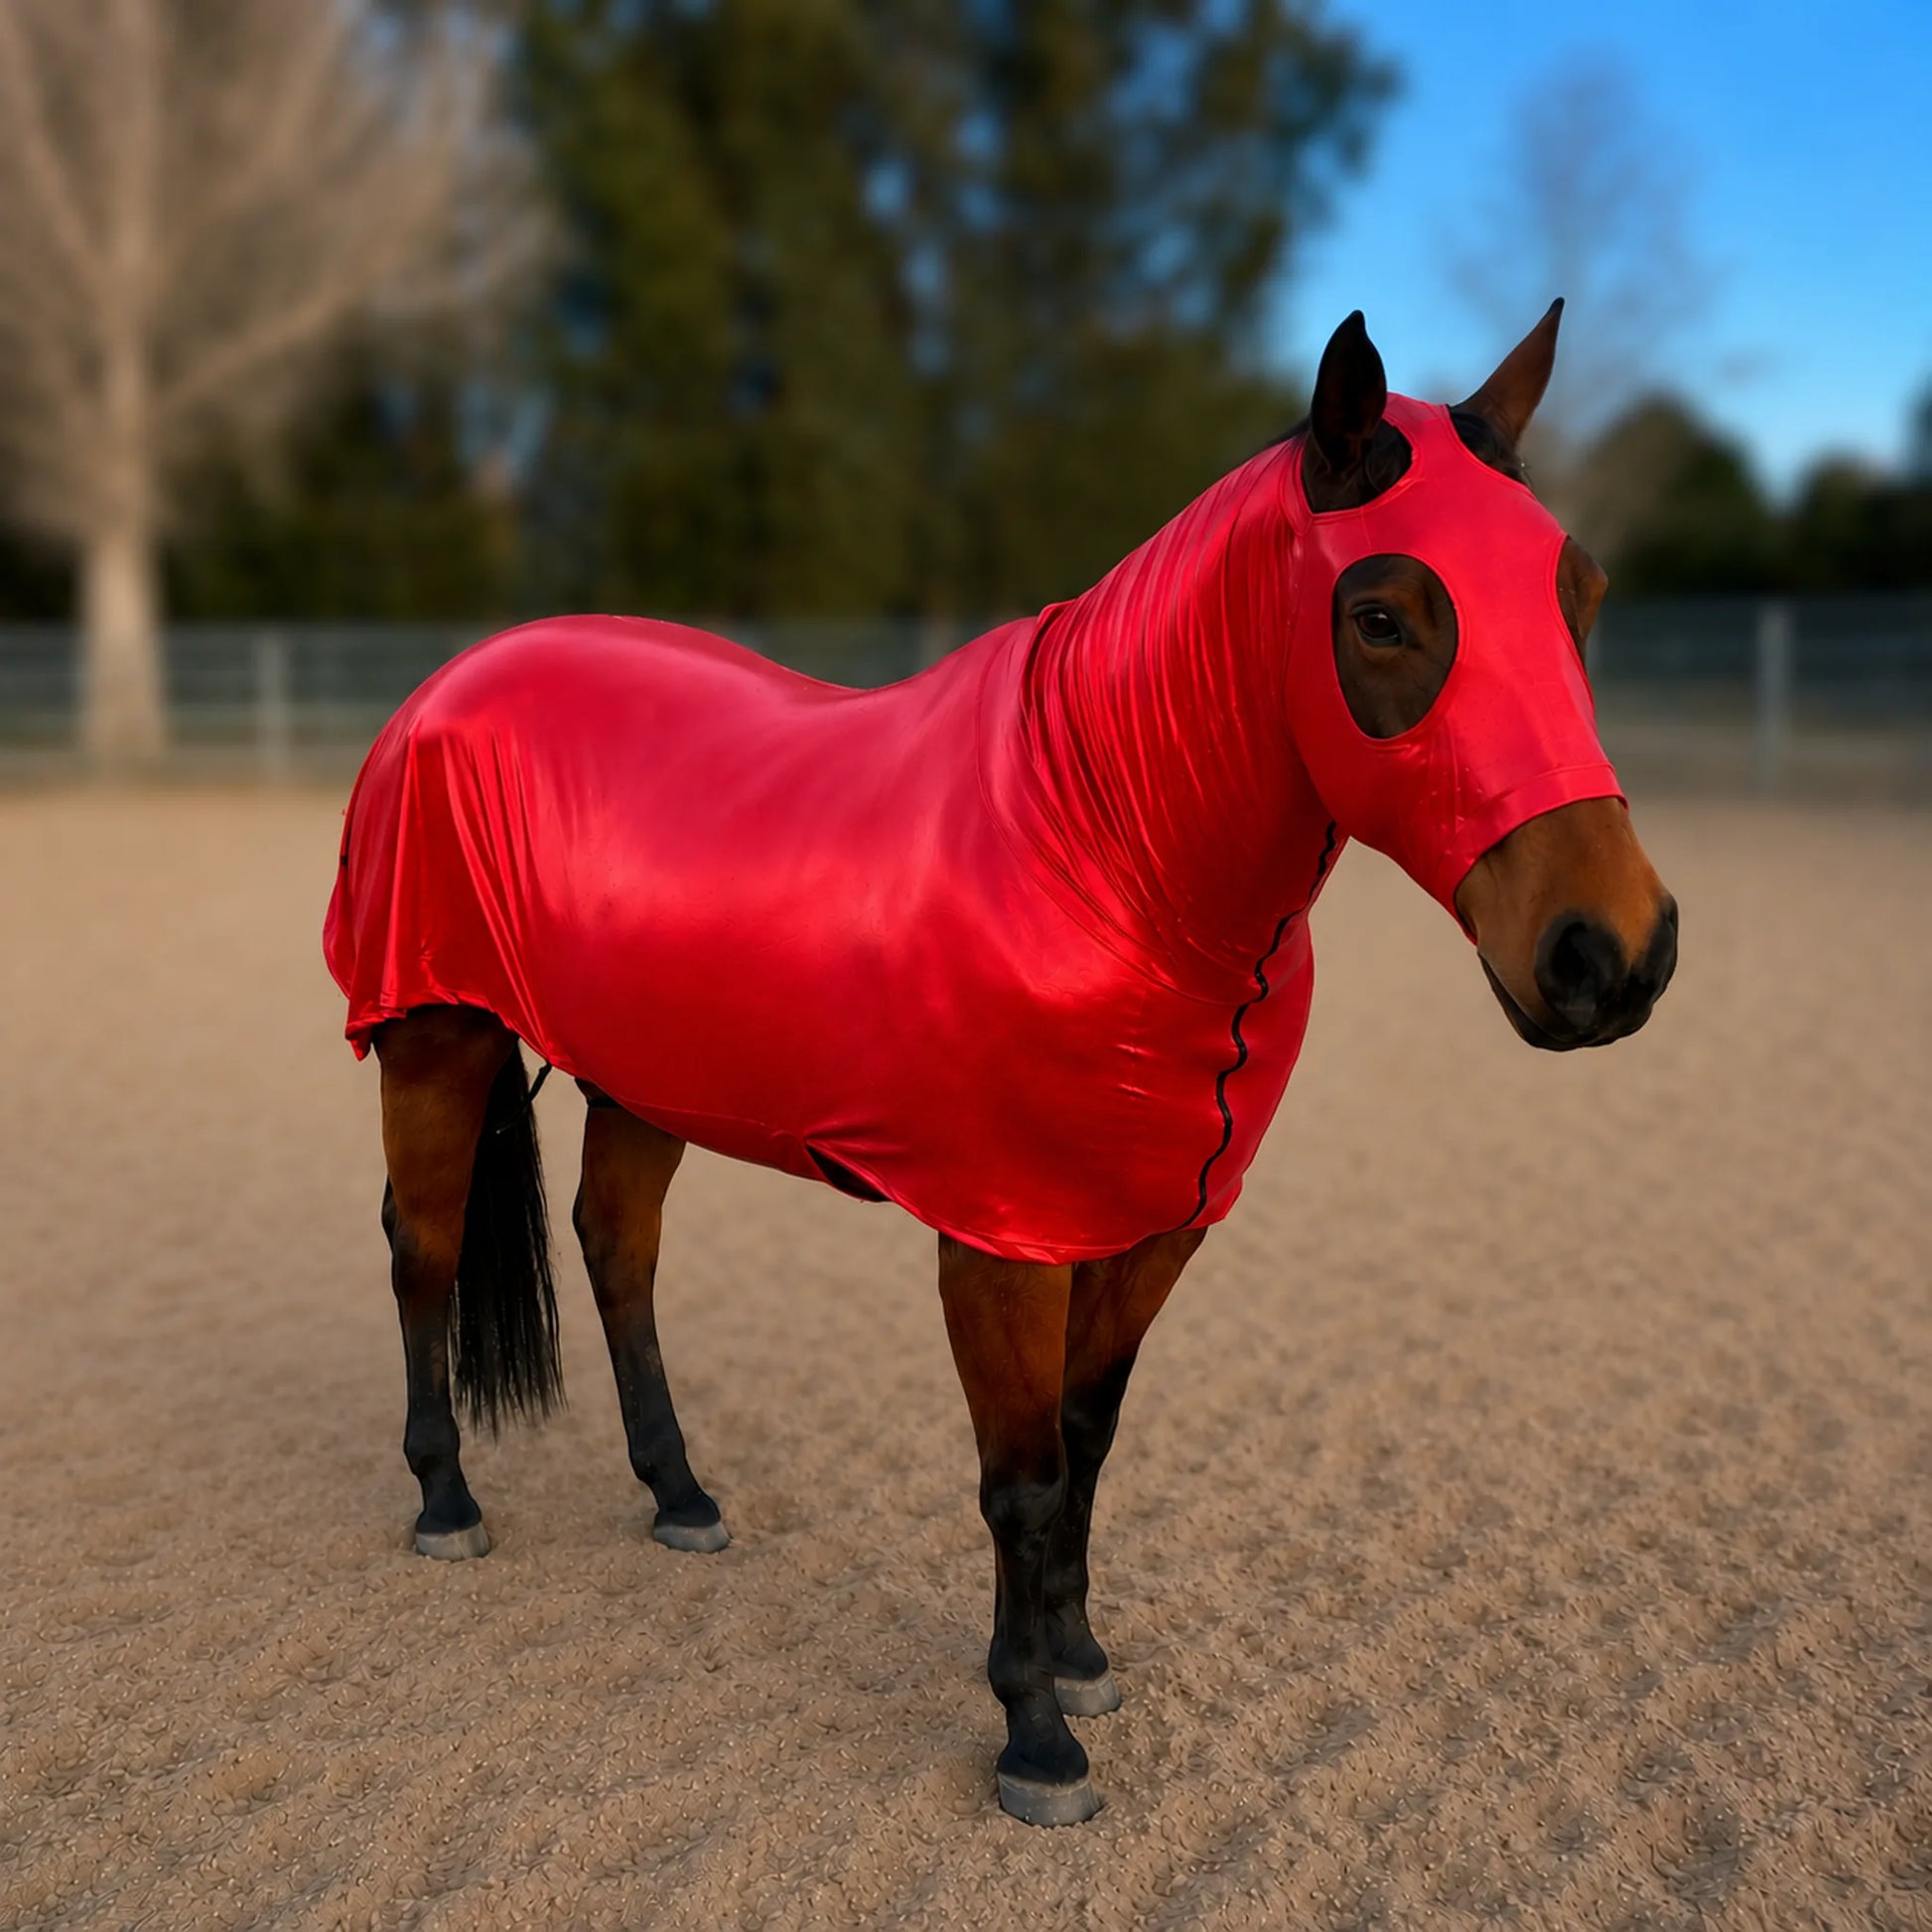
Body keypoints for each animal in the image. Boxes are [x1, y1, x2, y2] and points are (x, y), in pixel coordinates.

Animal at [325, 303, 1677, 1827]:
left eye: (1580, 594)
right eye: (1381, 615)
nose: (1610, 950)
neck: (1111, 848)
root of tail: (456, 681)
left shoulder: (1150, 1224)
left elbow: (1088, 1443)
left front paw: (1081, 1659)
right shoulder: (999, 1241)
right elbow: (1019, 1478)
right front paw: (1034, 1735)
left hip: (644, 1077)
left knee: (616, 1249)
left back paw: (680, 1496)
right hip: (436, 1037)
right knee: (425, 1250)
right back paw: (447, 1502)